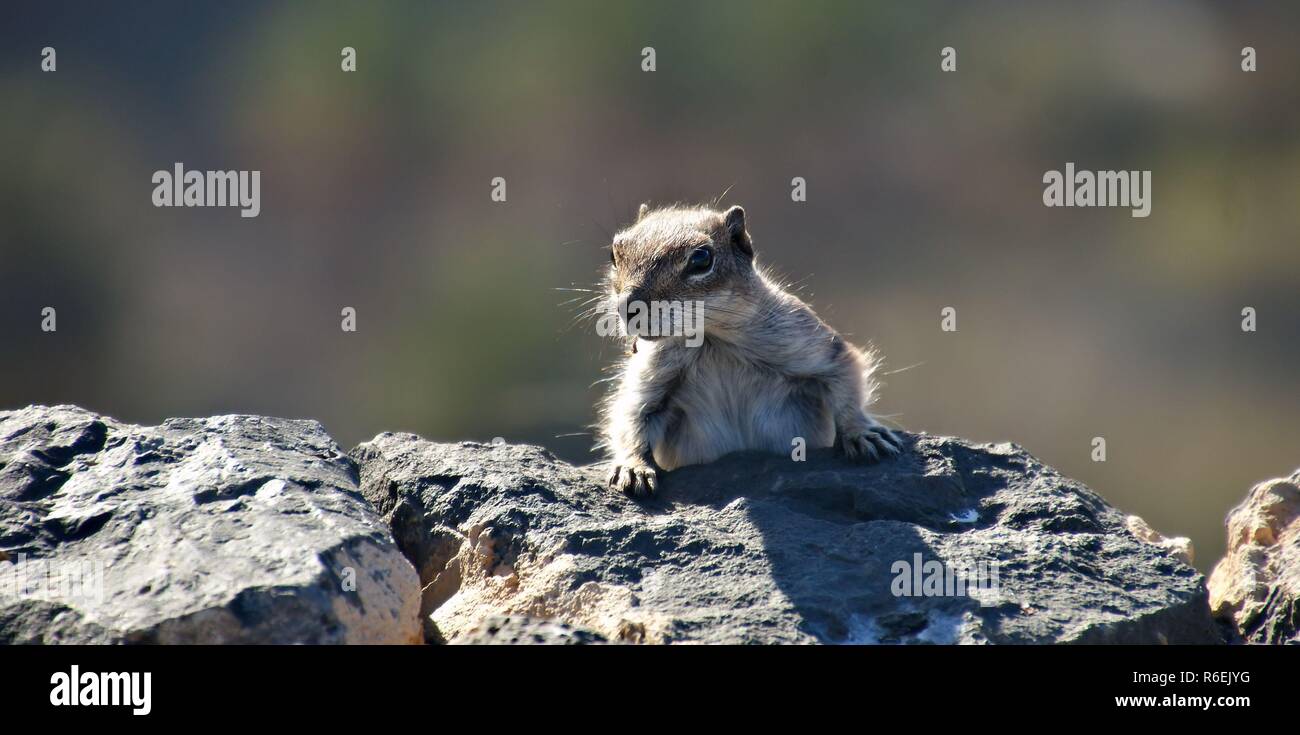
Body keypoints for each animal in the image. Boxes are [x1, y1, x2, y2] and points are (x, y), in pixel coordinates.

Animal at [595, 202, 894, 496]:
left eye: (701, 259)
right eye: (613, 254)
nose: (628, 306)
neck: (711, 340)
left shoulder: (812, 344)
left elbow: (846, 380)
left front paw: (862, 432)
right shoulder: (650, 376)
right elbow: (631, 415)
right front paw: (632, 466)